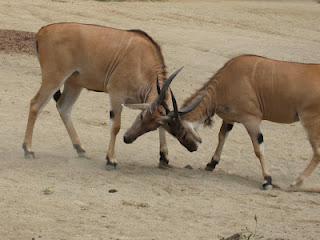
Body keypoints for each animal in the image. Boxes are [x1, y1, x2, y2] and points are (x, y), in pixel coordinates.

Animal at [21, 22, 198, 169]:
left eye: (153, 126)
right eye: (141, 117)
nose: (128, 139)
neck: (142, 60)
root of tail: (43, 31)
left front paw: (164, 157)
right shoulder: (116, 95)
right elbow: (116, 126)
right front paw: (111, 160)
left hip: (74, 84)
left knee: (63, 107)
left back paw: (80, 149)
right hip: (54, 79)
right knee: (35, 104)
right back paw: (28, 150)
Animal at [124, 55, 320, 190]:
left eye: (176, 131)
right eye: (141, 116)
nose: (127, 138)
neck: (228, 79)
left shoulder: (251, 120)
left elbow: (258, 149)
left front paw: (267, 180)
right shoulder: (229, 119)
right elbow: (221, 136)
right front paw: (211, 164)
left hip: (310, 122)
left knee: (317, 151)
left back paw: (297, 182)